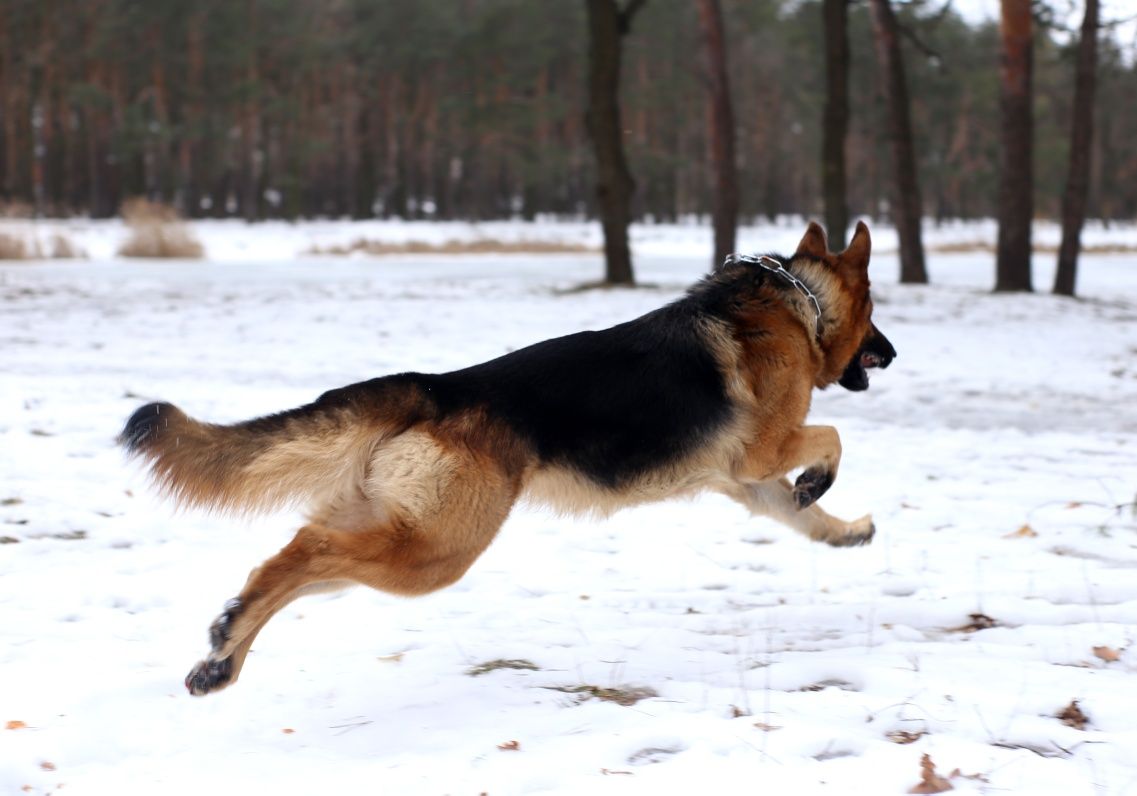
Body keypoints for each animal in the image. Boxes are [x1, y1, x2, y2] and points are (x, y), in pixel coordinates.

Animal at [117, 220, 895, 691]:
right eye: (875, 313)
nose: (890, 354)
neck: (798, 304)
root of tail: (438, 387)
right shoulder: (763, 451)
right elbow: (830, 438)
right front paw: (820, 480)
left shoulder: (745, 479)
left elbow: (804, 518)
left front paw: (846, 529)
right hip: (436, 551)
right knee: (308, 553)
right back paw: (229, 637)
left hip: (399, 530)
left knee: (287, 559)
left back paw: (223, 654)